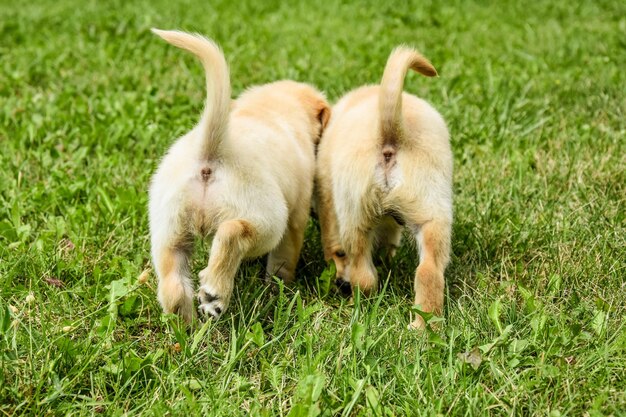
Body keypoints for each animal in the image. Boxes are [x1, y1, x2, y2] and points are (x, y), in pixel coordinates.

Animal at [149, 29, 330, 322]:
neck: (271, 107)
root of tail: (213, 149)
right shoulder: (295, 217)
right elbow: (283, 260)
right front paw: (278, 288)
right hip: (267, 217)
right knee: (232, 233)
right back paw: (215, 291)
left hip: (168, 228)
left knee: (173, 285)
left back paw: (187, 326)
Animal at [314, 47, 450, 330]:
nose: (339, 284)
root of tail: (391, 131)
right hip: (432, 214)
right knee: (429, 272)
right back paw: (424, 327)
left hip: (354, 218)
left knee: (364, 275)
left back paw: (358, 303)